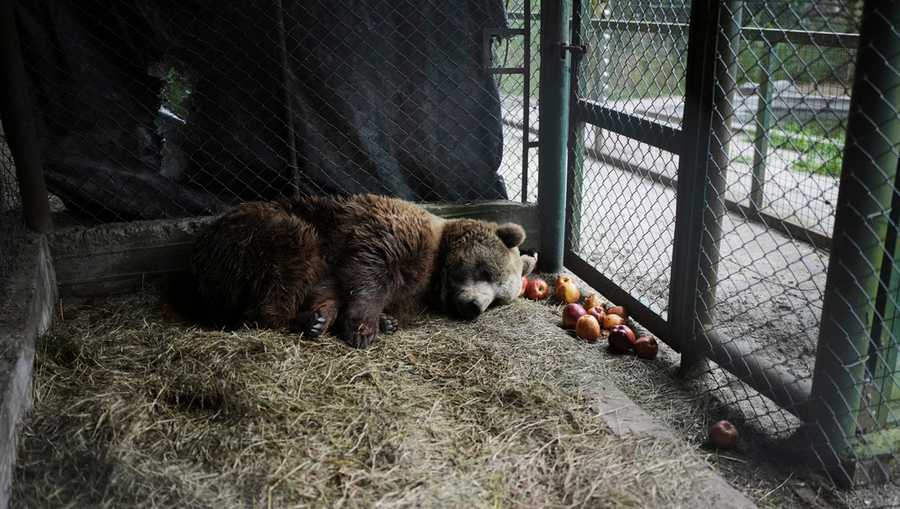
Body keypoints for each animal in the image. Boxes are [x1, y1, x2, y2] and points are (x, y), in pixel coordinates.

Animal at [188, 194, 537, 348]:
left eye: (498, 299)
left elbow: (333, 287)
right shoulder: (389, 236)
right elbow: (368, 273)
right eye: (487, 272)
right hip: (259, 234)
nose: (474, 306)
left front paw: (341, 315)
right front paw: (364, 327)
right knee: (289, 265)